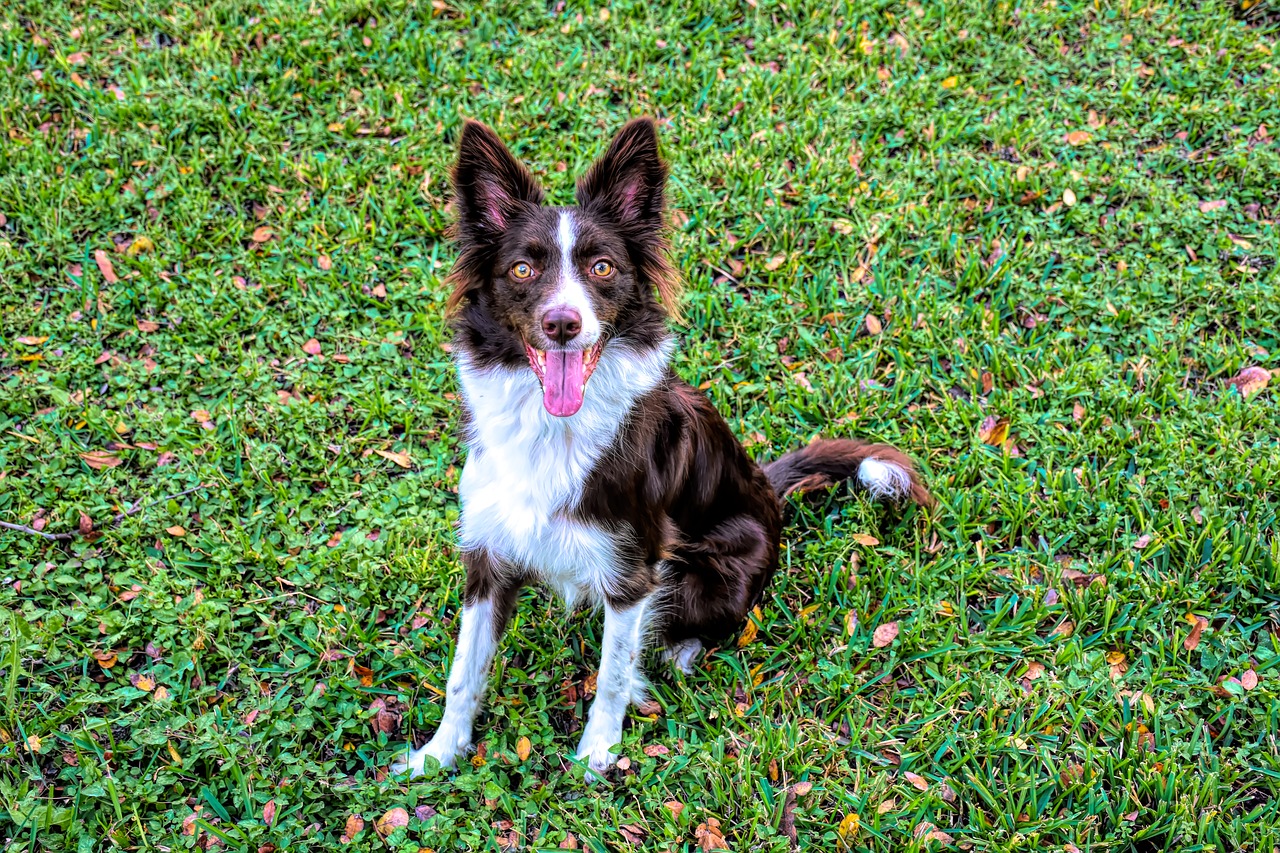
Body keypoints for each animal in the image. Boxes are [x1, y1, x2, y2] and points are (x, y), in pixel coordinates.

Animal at [389, 117, 931, 778]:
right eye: (521, 270)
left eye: (601, 267)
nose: (563, 324)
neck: (552, 427)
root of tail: (767, 491)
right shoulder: (489, 554)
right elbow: (463, 672)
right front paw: (438, 755)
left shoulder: (634, 571)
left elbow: (613, 673)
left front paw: (598, 754)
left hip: (714, 573)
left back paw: (679, 653)